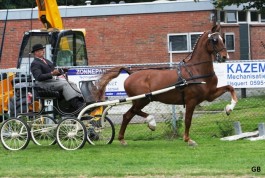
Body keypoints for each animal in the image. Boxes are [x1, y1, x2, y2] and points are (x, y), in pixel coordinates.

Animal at [95, 24, 237, 146]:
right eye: (214, 40)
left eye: (223, 39)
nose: (225, 56)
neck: (196, 71)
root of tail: (131, 74)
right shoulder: (191, 100)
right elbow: (188, 120)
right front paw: (188, 140)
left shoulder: (209, 95)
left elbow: (230, 88)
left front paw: (229, 108)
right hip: (143, 99)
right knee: (131, 113)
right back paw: (151, 122)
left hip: (141, 100)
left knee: (128, 115)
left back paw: (123, 139)